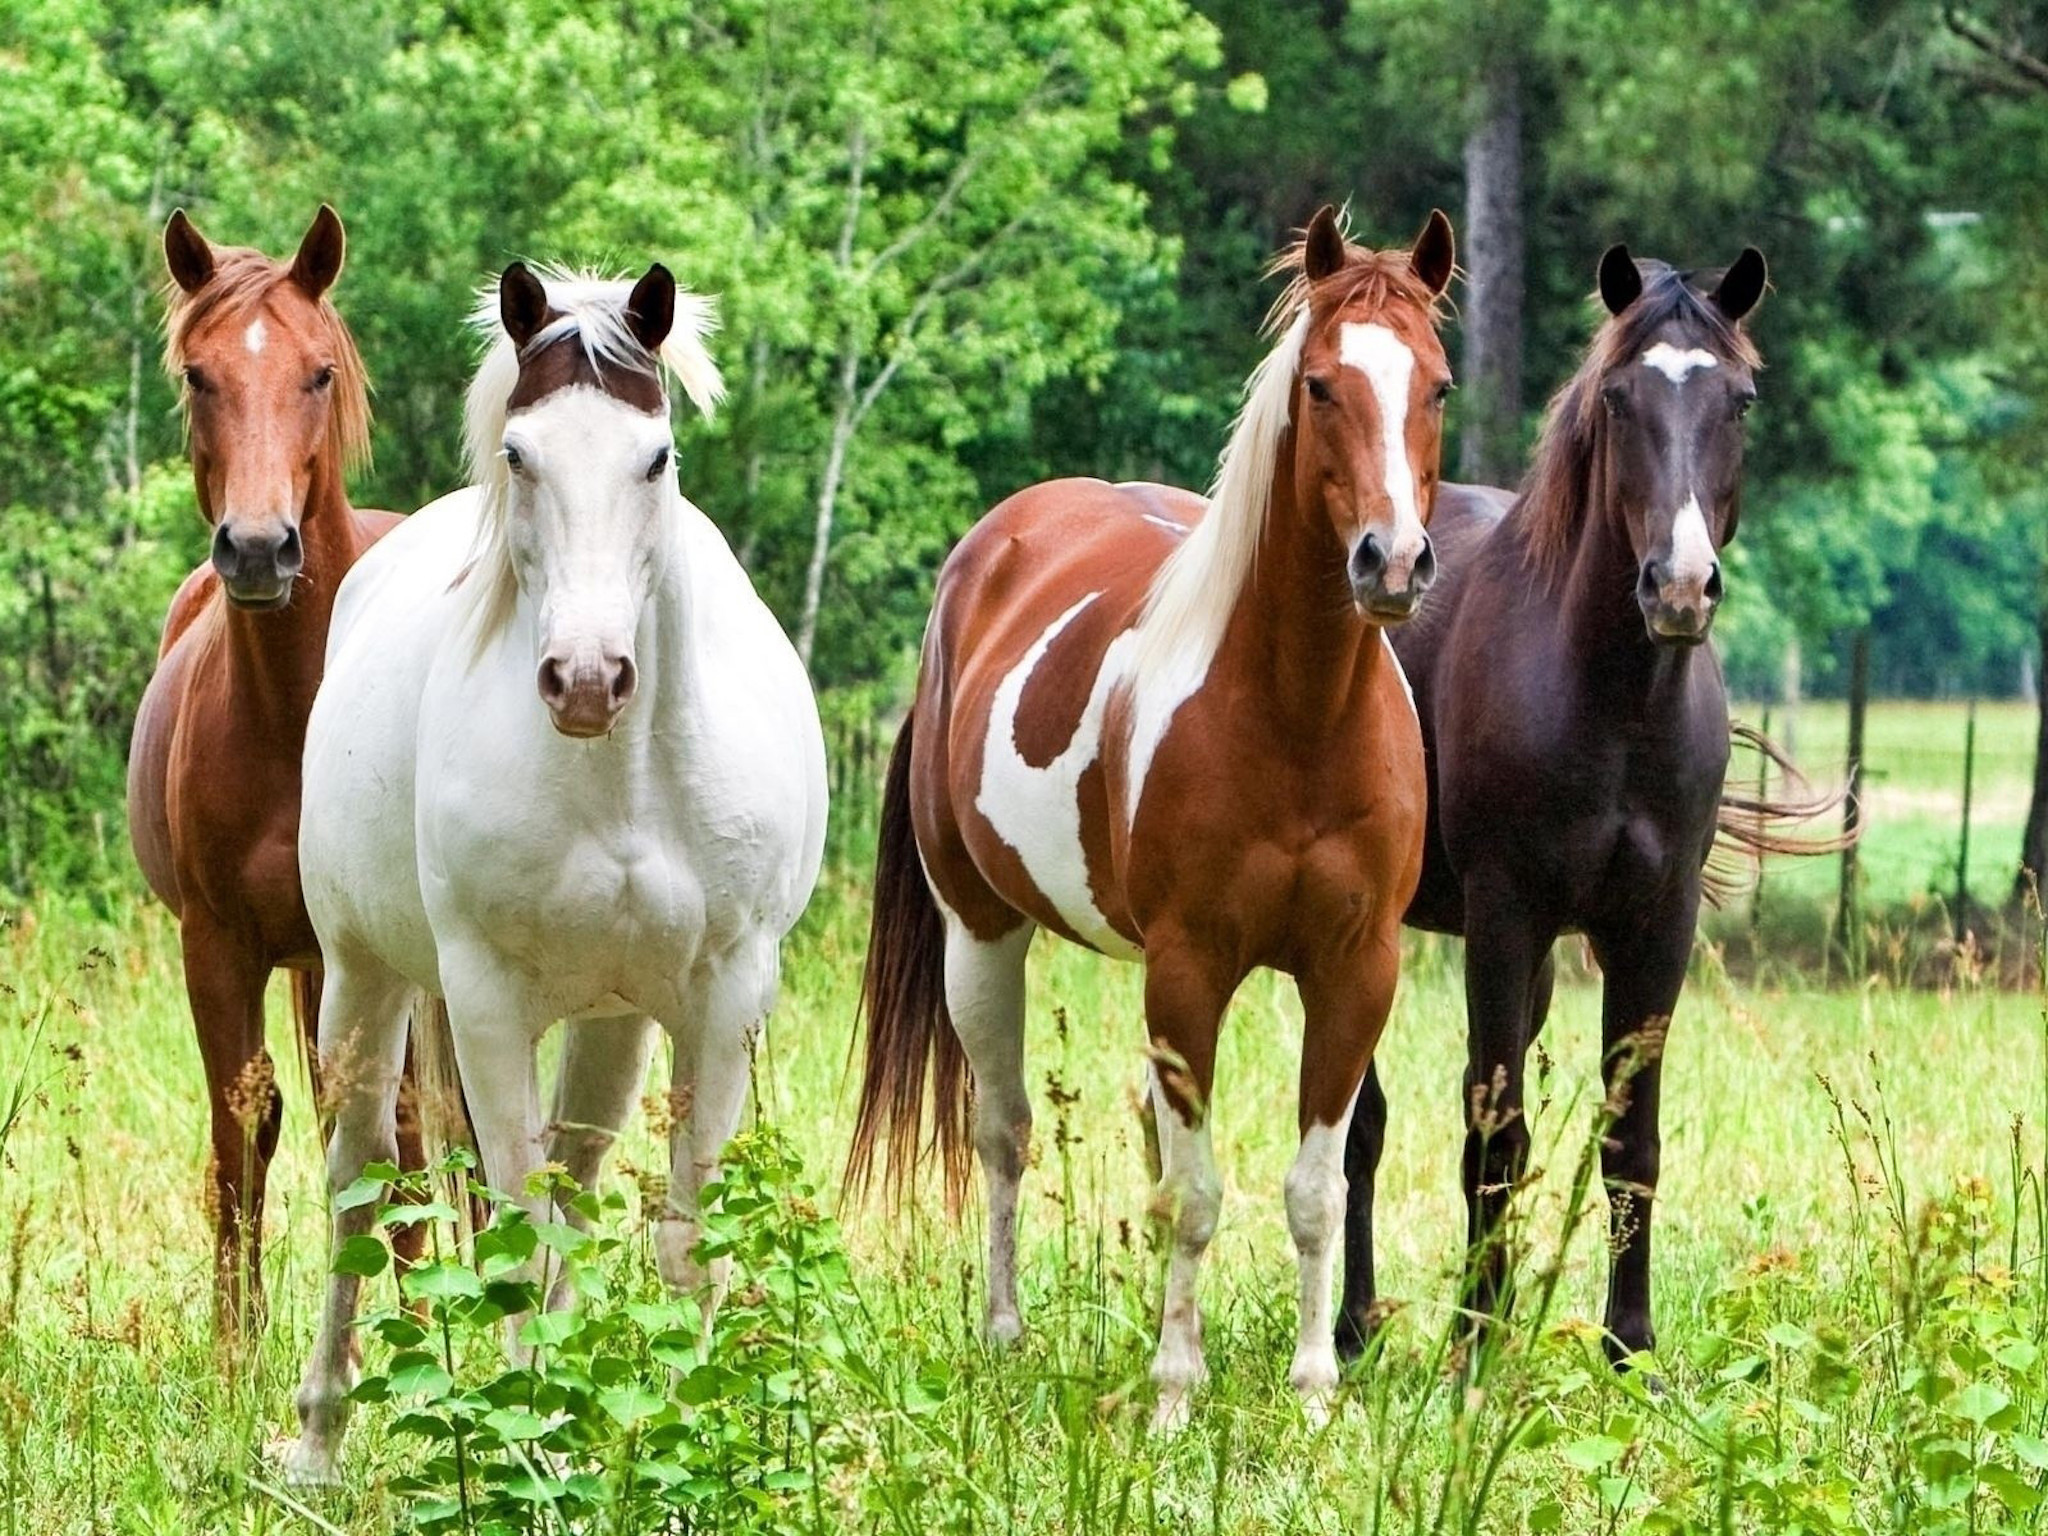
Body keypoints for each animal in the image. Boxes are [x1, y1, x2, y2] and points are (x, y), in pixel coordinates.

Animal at [126, 210, 419, 1343]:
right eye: (198, 374)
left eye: (318, 372)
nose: (257, 550)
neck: (297, 715)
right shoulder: (218, 947)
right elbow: (242, 1129)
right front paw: (234, 1347)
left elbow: (394, 1134)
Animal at [284, 262, 827, 1482]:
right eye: (520, 454)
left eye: (655, 457)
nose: (586, 678)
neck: (621, 782)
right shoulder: (486, 1001)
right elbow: (513, 1234)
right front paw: (532, 1450)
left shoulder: (726, 997)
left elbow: (680, 1238)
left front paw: (675, 1445)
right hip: (362, 977)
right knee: (354, 1184)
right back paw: (318, 1441)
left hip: (613, 1023)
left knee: (571, 1189)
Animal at [847, 210, 1458, 1441]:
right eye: (1321, 385)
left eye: (1437, 386)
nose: (1394, 562)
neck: (1298, 716)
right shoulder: (1188, 969)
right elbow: (1196, 1190)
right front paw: (1177, 1389)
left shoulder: (1355, 970)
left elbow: (1311, 1190)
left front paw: (1314, 1391)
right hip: (978, 935)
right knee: (1004, 1131)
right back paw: (1005, 1333)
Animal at [1335, 243, 1835, 1368]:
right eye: (1616, 399)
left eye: (1739, 400)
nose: (1679, 588)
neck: (1611, 701)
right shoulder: (1503, 914)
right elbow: (1493, 1132)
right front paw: (1474, 1346)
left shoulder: (1654, 926)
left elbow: (1628, 1138)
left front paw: (1628, 1347)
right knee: (1361, 1122)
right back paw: (1352, 1327)